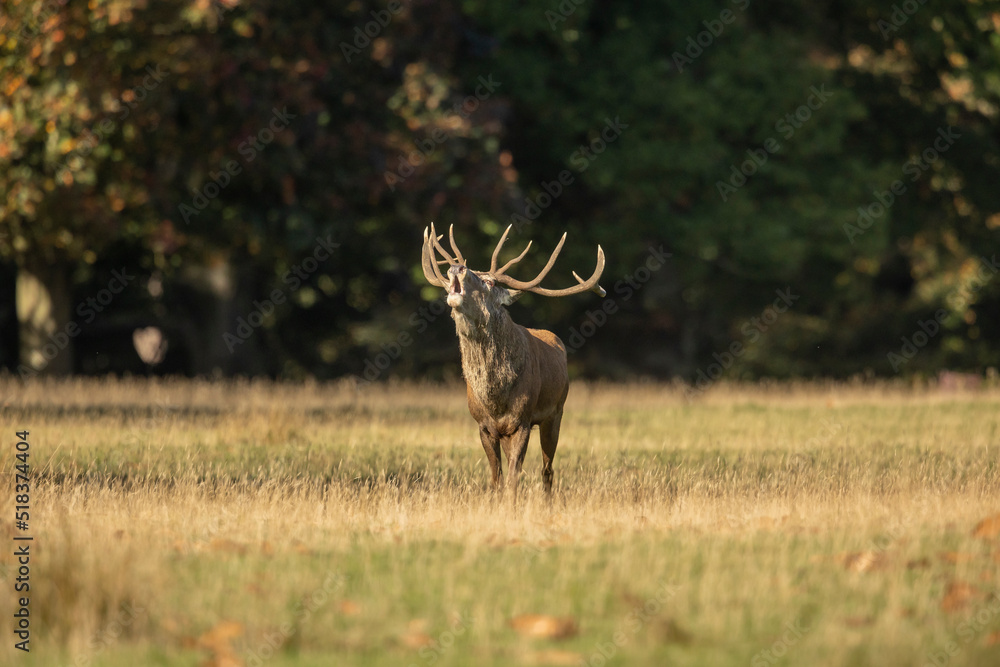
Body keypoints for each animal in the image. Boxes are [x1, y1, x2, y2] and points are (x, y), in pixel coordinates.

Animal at [421, 222, 606, 503]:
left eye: (488, 281)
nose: (456, 267)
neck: (495, 398)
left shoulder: (523, 420)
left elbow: (513, 478)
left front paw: (511, 505)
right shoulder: (484, 425)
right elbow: (497, 478)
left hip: (556, 412)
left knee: (547, 469)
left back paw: (547, 502)